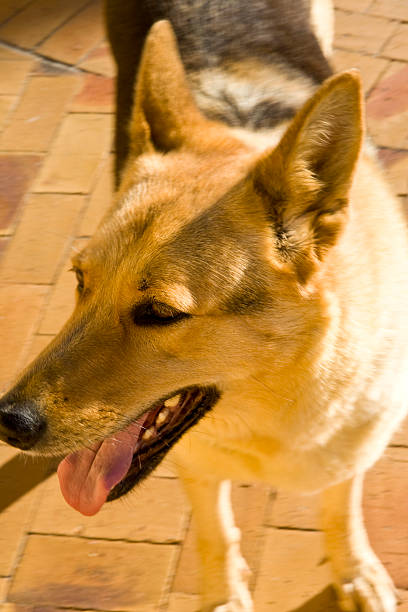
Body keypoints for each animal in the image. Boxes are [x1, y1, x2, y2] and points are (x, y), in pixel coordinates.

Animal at [0, 1, 408, 612]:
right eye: (80, 281)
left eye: (160, 314)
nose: (8, 422)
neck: (277, 405)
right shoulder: (197, 462)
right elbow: (216, 530)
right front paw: (223, 595)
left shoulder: (350, 450)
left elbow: (341, 508)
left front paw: (354, 569)